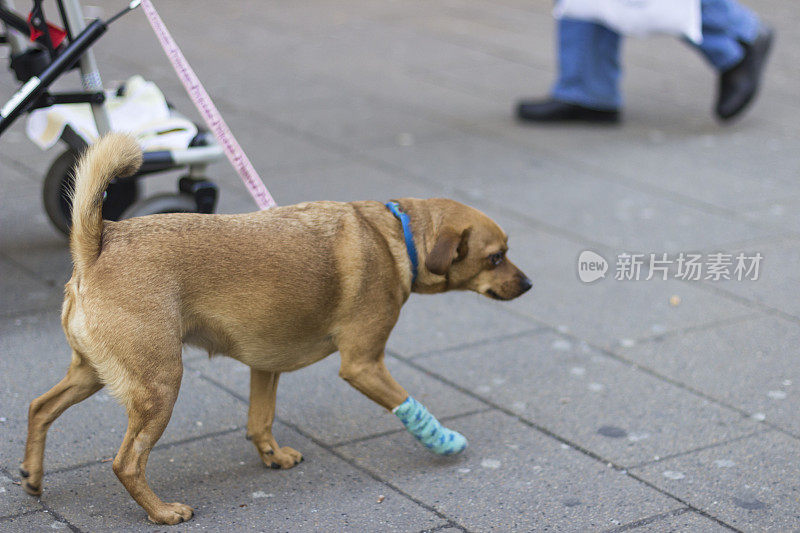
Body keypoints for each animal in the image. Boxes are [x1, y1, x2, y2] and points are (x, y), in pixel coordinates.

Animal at [20, 132, 532, 520]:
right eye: (496, 258)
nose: (528, 283)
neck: (397, 236)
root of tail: (98, 243)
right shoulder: (364, 365)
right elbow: (406, 403)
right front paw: (440, 440)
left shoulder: (265, 365)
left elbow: (259, 420)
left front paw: (272, 455)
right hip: (159, 386)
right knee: (126, 462)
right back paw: (162, 511)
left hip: (93, 372)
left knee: (40, 407)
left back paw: (32, 475)